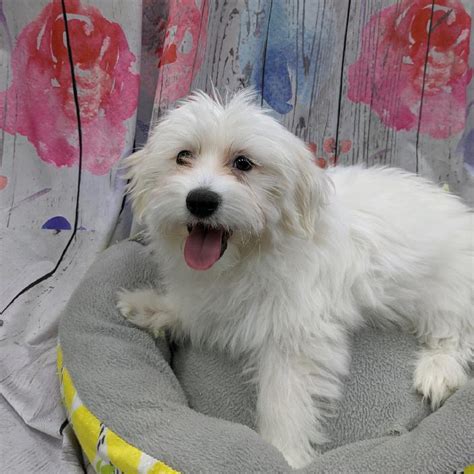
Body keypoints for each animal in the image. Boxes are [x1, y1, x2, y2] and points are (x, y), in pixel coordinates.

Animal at [116, 90, 472, 468]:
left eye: (243, 163)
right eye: (183, 156)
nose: (200, 200)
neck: (247, 256)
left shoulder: (297, 333)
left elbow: (284, 396)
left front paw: (283, 452)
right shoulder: (210, 295)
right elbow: (192, 309)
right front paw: (147, 306)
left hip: (447, 292)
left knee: (456, 333)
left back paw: (438, 370)